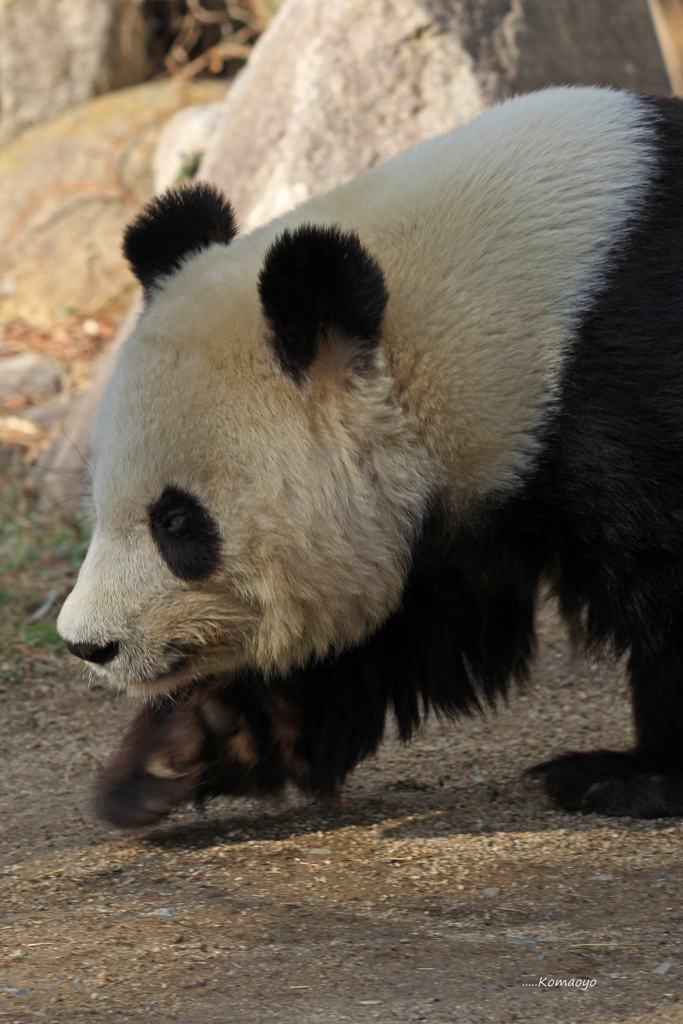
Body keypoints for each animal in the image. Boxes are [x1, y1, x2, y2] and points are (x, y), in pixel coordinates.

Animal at [57, 86, 683, 823]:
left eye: (176, 521)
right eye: (99, 504)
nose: (88, 644)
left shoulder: (623, 385)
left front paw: (634, 776)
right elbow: (398, 628)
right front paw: (190, 742)